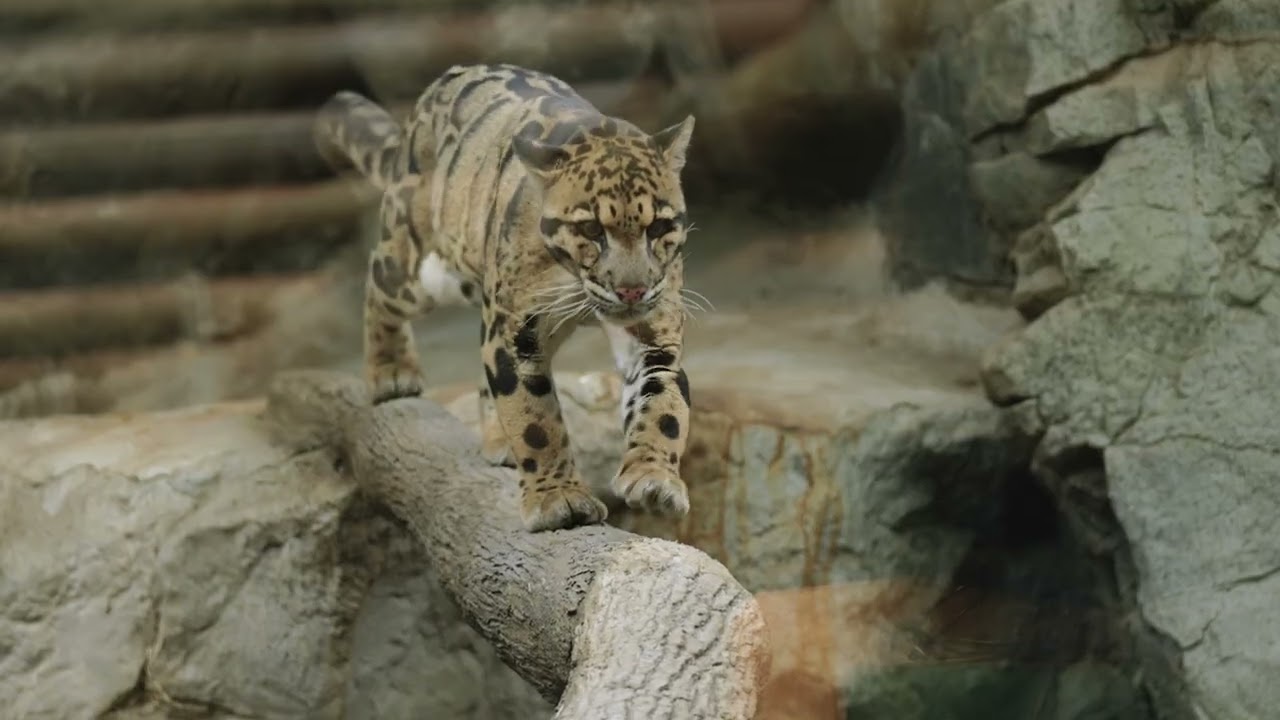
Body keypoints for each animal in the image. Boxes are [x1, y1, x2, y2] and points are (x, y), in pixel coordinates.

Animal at [314, 63, 697, 533]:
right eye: (591, 229)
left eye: (658, 227)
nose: (632, 289)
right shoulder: (516, 332)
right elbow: (535, 417)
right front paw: (558, 500)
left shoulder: (655, 333)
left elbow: (664, 406)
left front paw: (654, 478)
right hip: (423, 271)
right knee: (378, 282)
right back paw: (390, 372)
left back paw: (499, 440)